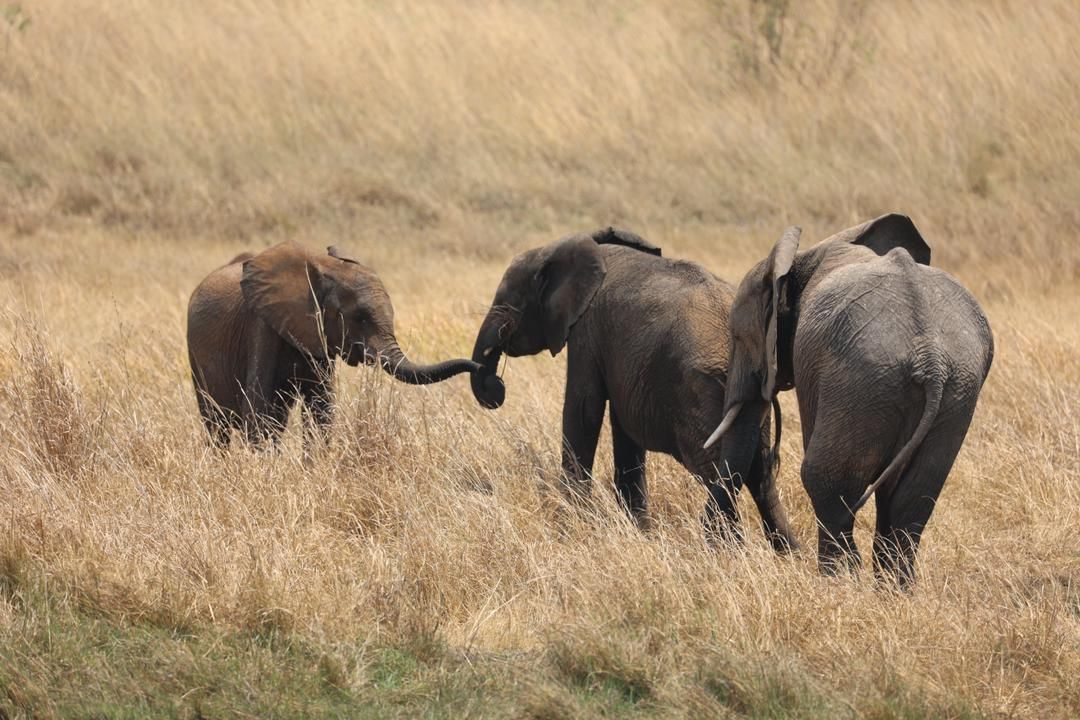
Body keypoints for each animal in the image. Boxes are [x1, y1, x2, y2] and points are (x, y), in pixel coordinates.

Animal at [187, 241, 479, 444]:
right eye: (360, 318)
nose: (480, 366)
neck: (322, 268)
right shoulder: (260, 325)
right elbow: (258, 408)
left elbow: (321, 409)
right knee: (217, 425)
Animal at [468, 227, 799, 548]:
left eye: (506, 301)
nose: (496, 388)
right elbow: (623, 430)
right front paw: (641, 532)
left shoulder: (587, 330)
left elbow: (583, 410)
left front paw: (570, 531)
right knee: (760, 475)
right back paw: (786, 552)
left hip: (701, 391)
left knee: (717, 471)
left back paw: (727, 551)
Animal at [699, 213, 993, 587]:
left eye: (737, 336)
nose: (720, 549)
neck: (803, 256)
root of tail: (932, 359)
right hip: (956, 391)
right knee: (913, 496)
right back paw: (892, 590)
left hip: (862, 381)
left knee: (825, 479)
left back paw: (838, 580)